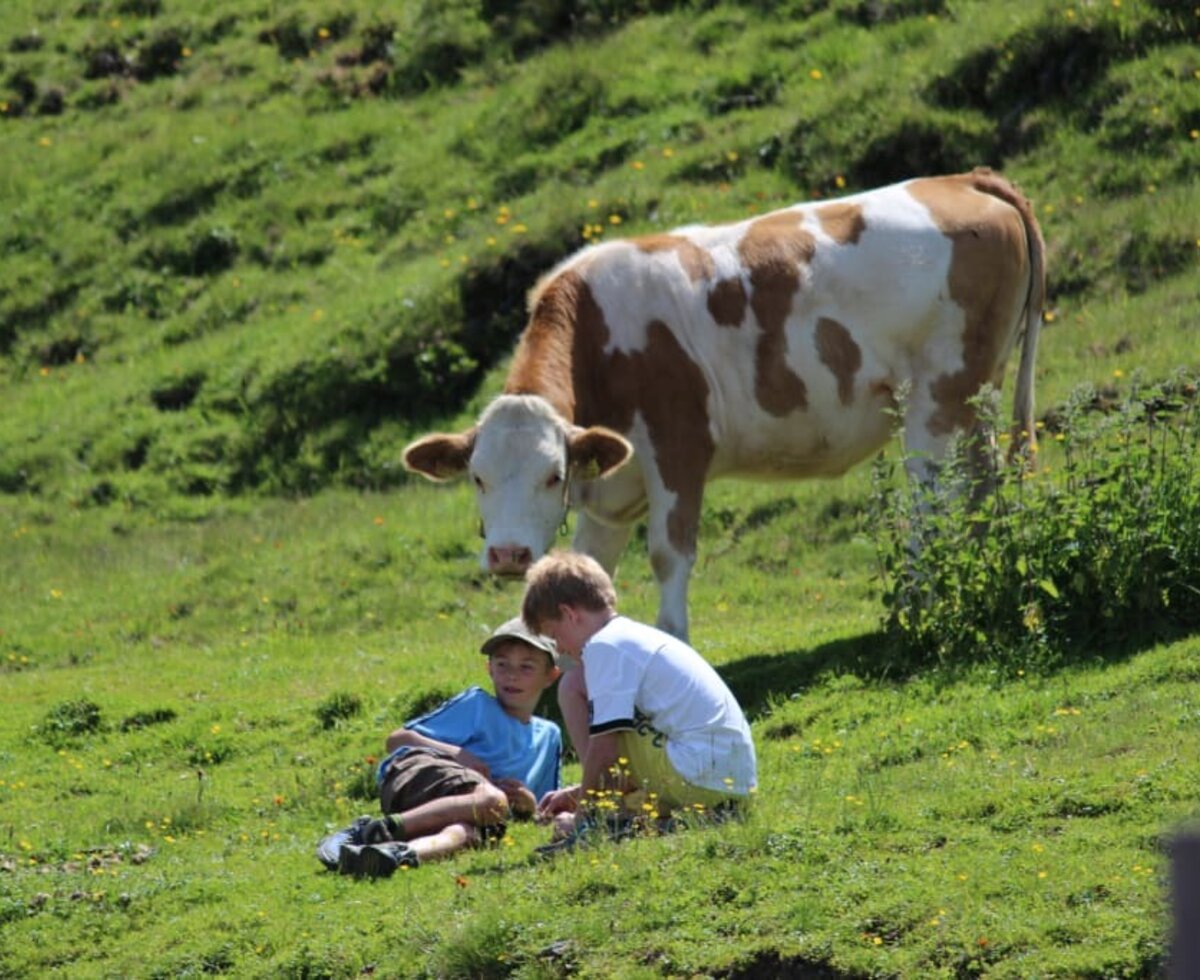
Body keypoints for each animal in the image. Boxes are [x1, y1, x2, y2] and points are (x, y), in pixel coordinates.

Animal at [400, 167, 1041, 642]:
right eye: (477, 477)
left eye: (551, 474)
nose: (508, 553)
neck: (599, 332)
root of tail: (963, 179)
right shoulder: (610, 487)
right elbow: (587, 566)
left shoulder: (678, 441)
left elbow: (668, 554)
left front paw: (673, 641)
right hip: (977, 392)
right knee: (982, 482)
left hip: (937, 394)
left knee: (932, 501)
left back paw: (918, 605)